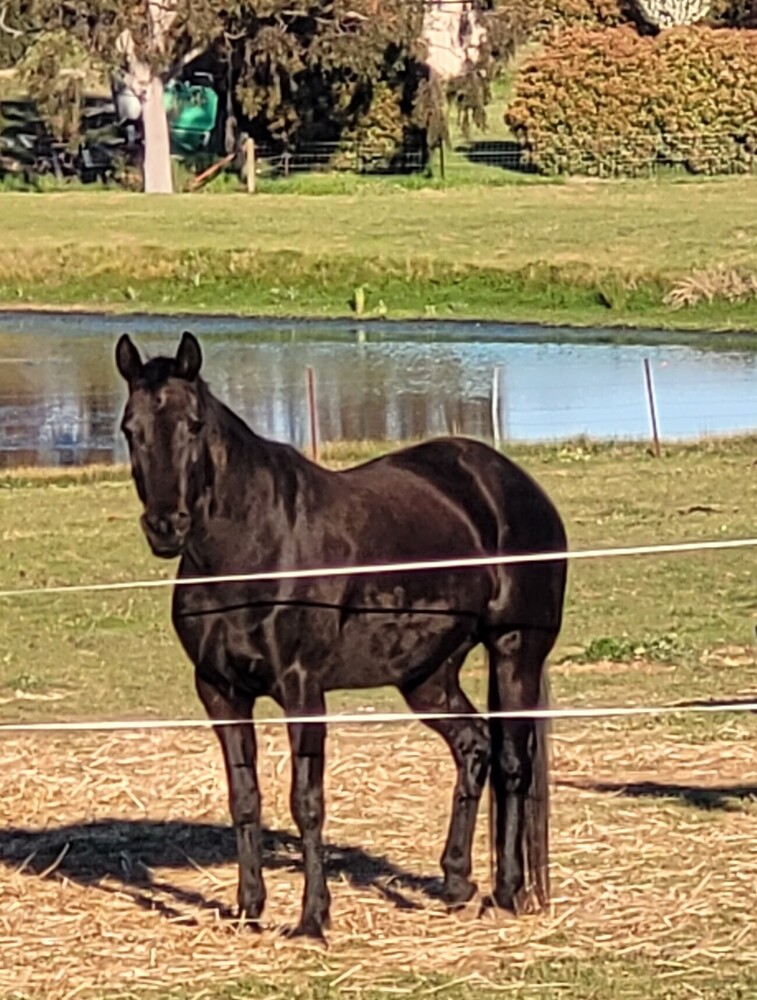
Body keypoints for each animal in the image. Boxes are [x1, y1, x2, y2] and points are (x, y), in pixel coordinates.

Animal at [115, 331, 568, 939]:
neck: (250, 548)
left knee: (514, 764)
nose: (166, 526)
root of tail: (512, 485)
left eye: (192, 424)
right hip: (427, 675)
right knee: (474, 745)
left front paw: (313, 918)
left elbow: (306, 801)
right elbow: (244, 797)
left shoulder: (302, 690)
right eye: (130, 428)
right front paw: (248, 908)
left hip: (515, 651)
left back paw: (507, 892)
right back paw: (455, 881)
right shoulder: (219, 691)